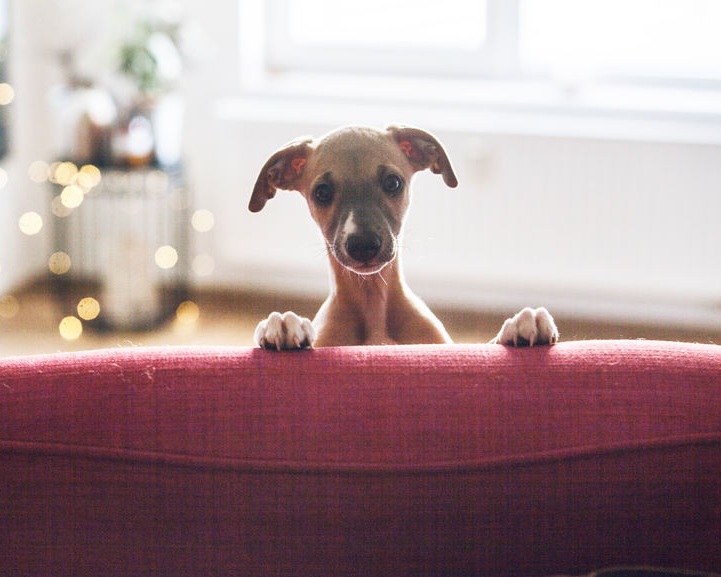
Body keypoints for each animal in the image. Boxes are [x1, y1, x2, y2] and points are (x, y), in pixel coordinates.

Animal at [248, 124, 556, 348]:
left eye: (393, 182)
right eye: (321, 192)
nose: (363, 246)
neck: (374, 305)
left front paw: (519, 324)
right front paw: (283, 323)